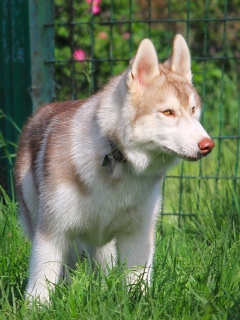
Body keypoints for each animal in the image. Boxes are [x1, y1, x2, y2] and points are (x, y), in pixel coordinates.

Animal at [14, 35, 214, 302]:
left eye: (193, 110)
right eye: (168, 112)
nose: (208, 145)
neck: (118, 158)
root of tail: (43, 110)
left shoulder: (138, 234)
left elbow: (137, 281)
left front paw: (138, 303)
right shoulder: (52, 233)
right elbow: (40, 284)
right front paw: (36, 308)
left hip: (104, 244)